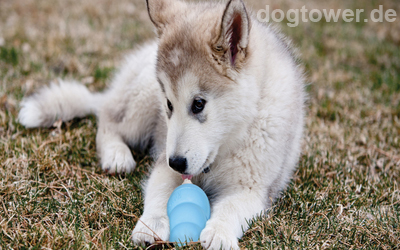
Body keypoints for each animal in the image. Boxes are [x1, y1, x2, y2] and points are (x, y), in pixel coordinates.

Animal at [18, 0, 306, 248]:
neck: (230, 140)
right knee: (108, 120)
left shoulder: (254, 189)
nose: (176, 162)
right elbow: (159, 192)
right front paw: (151, 225)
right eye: (168, 103)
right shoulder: (163, 161)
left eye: (198, 104)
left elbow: (232, 208)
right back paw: (116, 155)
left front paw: (219, 233)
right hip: (141, 99)